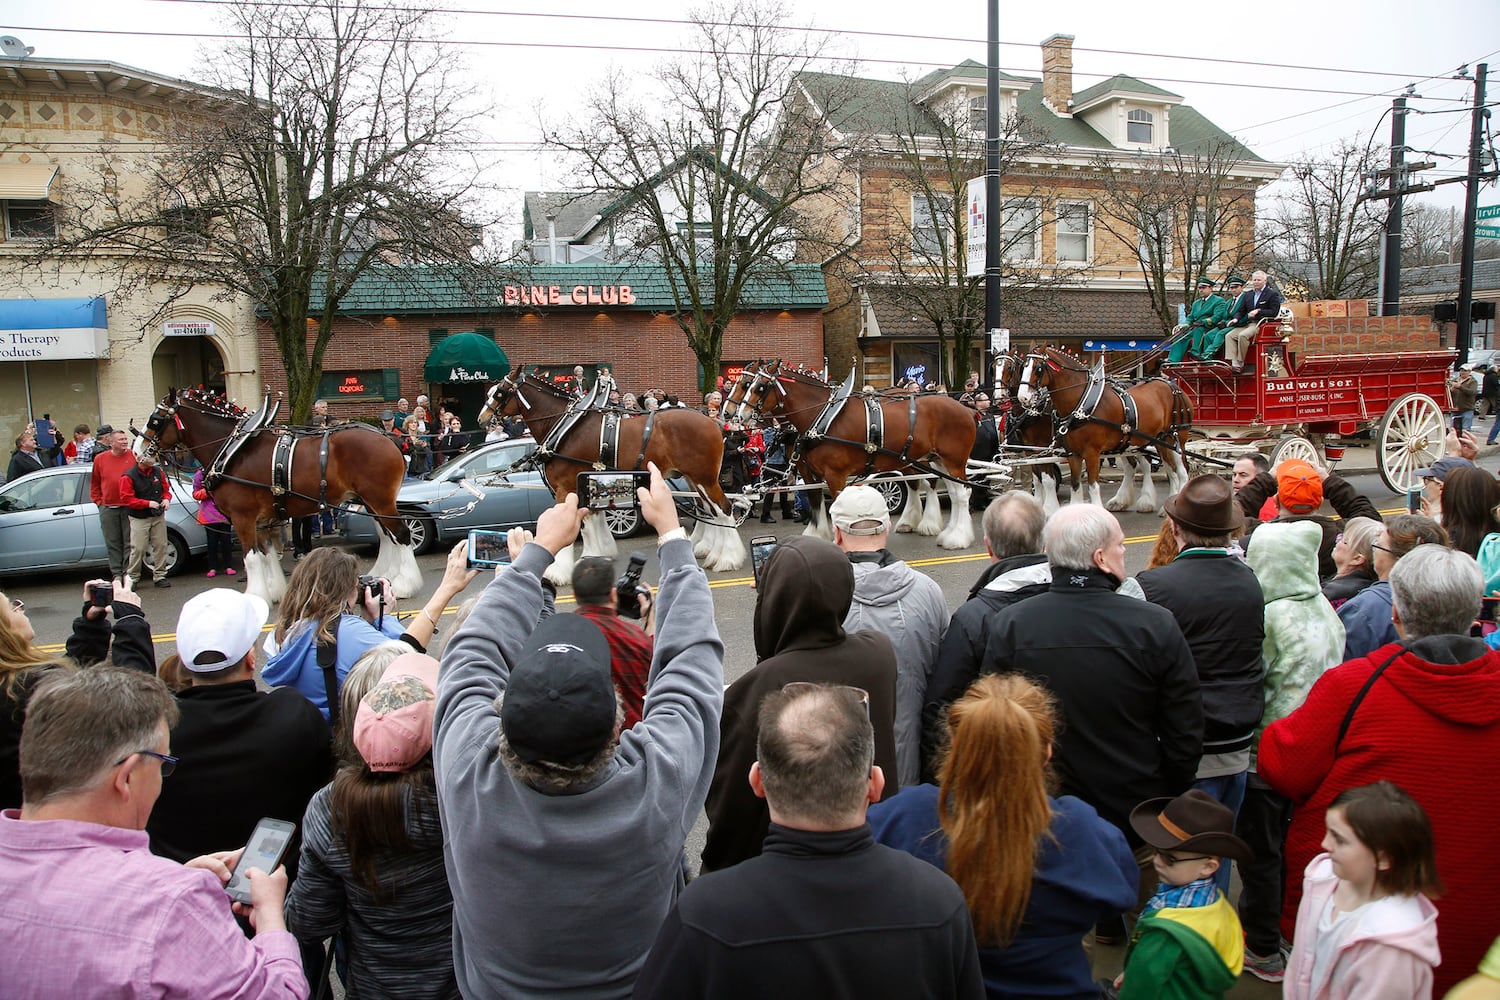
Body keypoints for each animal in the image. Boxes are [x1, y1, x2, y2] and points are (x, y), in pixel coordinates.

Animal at [138, 389, 420, 602]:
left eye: (155, 419)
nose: (139, 451)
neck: (233, 450)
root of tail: (388, 438)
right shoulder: (261, 520)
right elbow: (266, 554)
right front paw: (273, 591)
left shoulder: (242, 517)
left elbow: (251, 558)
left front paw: (254, 596)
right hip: (369, 501)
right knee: (386, 536)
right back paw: (384, 576)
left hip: (379, 500)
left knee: (402, 534)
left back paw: (405, 585)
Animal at [477, 371, 747, 581]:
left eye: (499, 393)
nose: (482, 418)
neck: (566, 427)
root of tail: (714, 423)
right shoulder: (587, 481)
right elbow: (591, 520)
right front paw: (597, 554)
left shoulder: (565, 487)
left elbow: (574, 525)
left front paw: (557, 572)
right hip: (695, 479)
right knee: (709, 510)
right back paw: (710, 552)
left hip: (704, 478)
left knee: (723, 509)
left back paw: (727, 559)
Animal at [723, 359, 978, 548]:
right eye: (744, 383)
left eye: (757, 386)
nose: (733, 414)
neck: (821, 416)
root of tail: (964, 408)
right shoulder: (809, 471)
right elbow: (815, 501)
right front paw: (817, 535)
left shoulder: (836, 475)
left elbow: (837, 506)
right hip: (930, 460)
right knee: (940, 488)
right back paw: (929, 527)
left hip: (953, 460)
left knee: (960, 493)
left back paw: (956, 537)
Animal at [1014, 347, 1188, 512]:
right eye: (1023, 367)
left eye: (1038, 368)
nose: (1023, 397)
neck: (1082, 404)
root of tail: (1171, 385)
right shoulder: (1072, 453)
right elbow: (1074, 485)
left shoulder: (1091, 453)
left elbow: (1092, 485)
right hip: (1149, 442)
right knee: (1164, 470)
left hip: (1174, 439)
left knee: (1179, 471)